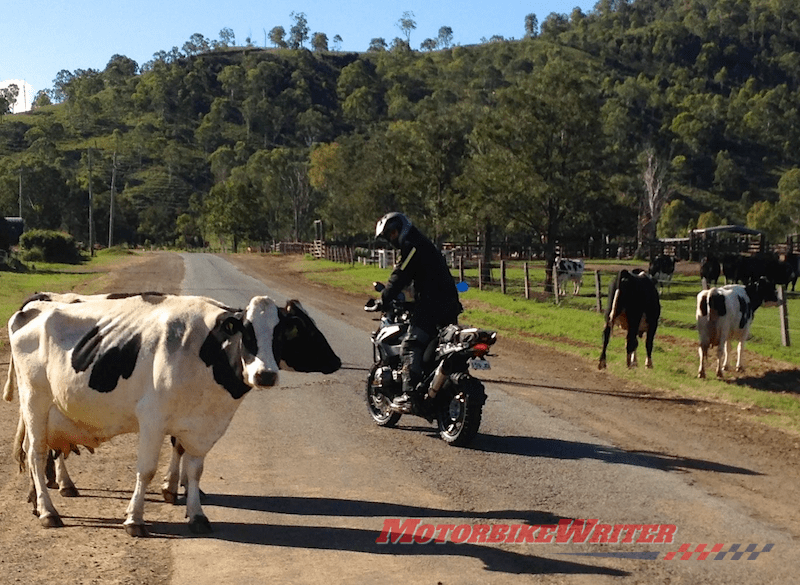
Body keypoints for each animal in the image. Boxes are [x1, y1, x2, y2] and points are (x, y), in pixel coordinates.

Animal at [3, 292, 340, 532]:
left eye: (282, 334)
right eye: (246, 334)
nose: (266, 375)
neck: (203, 353)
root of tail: (32, 310)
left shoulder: (202, 426)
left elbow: (195, 470)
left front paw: (196, 514)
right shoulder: (152, 419)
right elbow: (146, 470)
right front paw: (135, 519)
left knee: (38, 451)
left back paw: (38, 502)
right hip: (35, 400)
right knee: (37, 453)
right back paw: (48, 512)